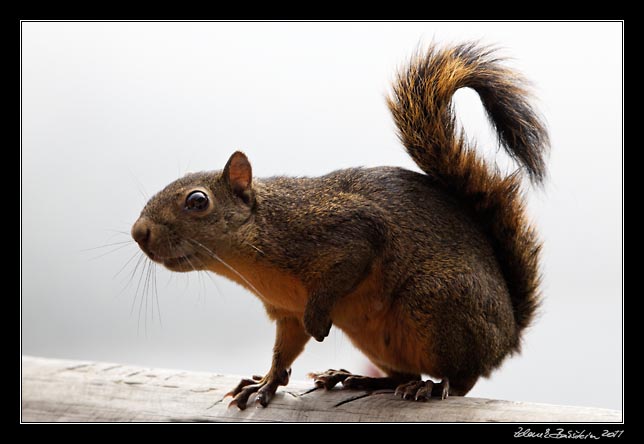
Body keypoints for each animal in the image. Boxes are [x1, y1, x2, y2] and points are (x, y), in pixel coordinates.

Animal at [131, 41, 548, 410]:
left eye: (197, 202)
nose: (139, 233)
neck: (258, 246)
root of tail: (509, 334)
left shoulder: (346, 230)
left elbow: (344, 268)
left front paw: (318, 321)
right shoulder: (286, 312)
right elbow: (284, 350)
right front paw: (266, 382)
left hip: (438, 302)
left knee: (460, 380)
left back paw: (431, 386)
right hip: (378, 338)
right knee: (403, 374)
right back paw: (359, 378)